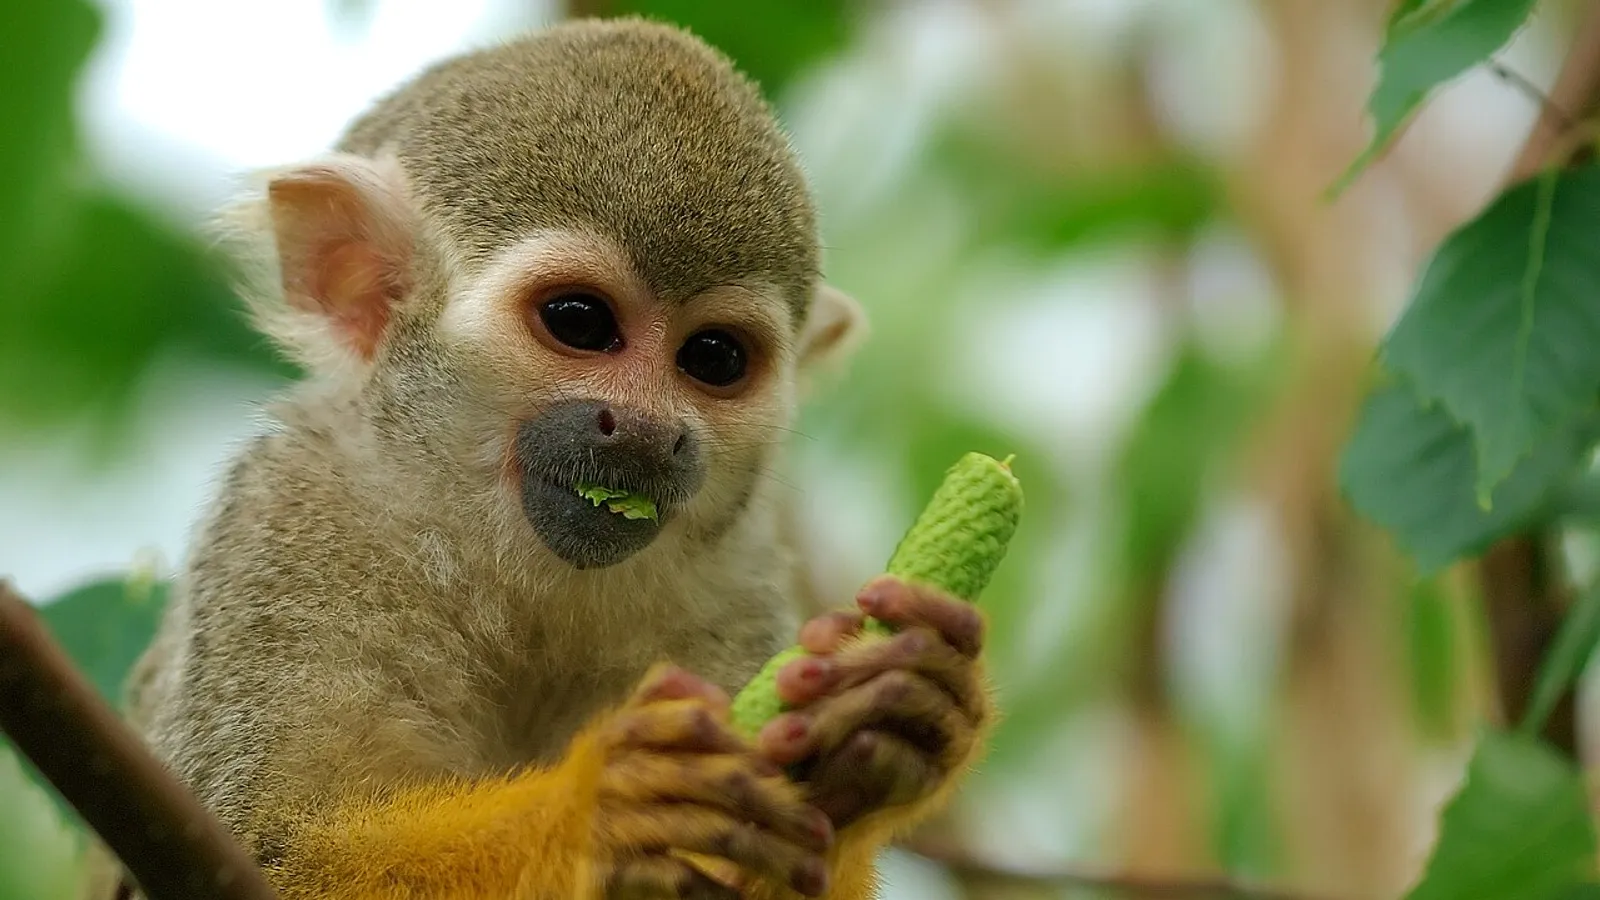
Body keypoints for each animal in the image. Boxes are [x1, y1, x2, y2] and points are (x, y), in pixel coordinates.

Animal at [87, 17, 994, 900]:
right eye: (579, 322)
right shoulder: (289, 522)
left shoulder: (736, 585)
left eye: (714, 359)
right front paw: (601, 810)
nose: (646, 431)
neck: (504, 561)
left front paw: (878, 731)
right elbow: (274, 847)